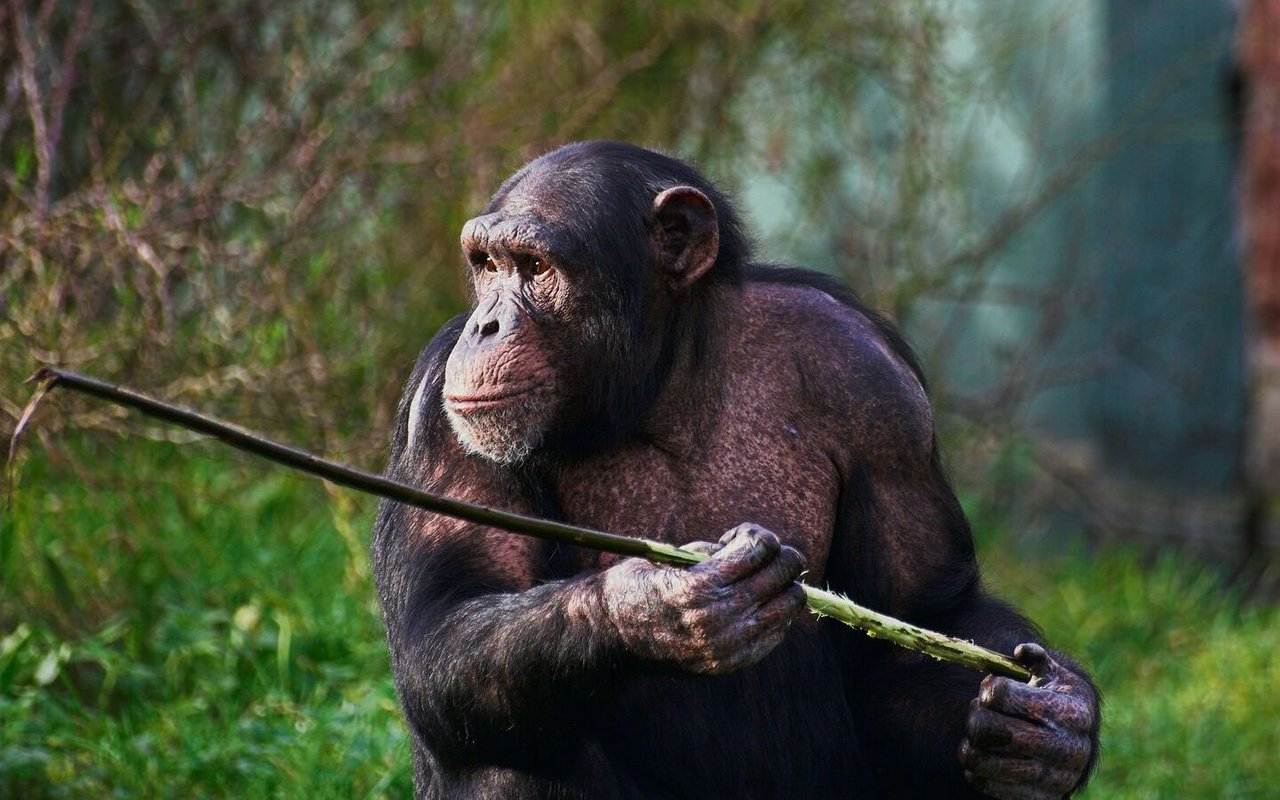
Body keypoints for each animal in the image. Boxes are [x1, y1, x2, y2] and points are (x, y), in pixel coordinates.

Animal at [371, 143, 1100, 798]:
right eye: (487, 265)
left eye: (534, 266)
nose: (486, 325)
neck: (665, 384)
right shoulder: (443, 419)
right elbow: (449, 613)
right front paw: (663, 605)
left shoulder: (878, 390)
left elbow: (923, 615)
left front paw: (1052, 721)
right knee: (508, 755)